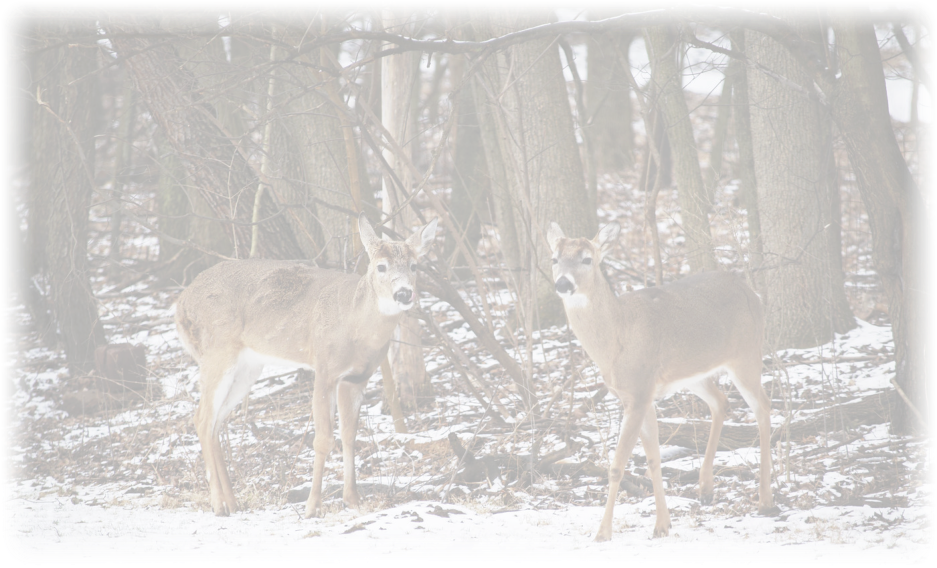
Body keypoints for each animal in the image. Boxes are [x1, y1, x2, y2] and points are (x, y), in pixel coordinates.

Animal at [174, 212, 438, 519]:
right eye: (381, 266)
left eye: (414, 266)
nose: (404, 294)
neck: (357, 326)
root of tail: (180, 304)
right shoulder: (325, 367)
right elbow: (322, 438)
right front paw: (313, 506)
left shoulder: (357, 378)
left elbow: (349, 435)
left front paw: (353, 499)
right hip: (217, 351)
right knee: (202, 419)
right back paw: (218, 504)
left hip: (248, 367)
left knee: (216, 422)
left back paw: (232, 502)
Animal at [547, 220, 774, 542]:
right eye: (555, 259)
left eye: (587, 259)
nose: (563, 284)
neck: (616, 341)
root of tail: (750, 291)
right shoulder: (639, 396)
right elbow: (653, 458)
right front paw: (663, 525)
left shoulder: (640, 390)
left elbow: (617, 466)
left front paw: (603, 533)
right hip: (694, 371)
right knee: (721, 402)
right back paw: (705, 488)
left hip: (746, 354)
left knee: (762, 407)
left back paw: (765, 500)